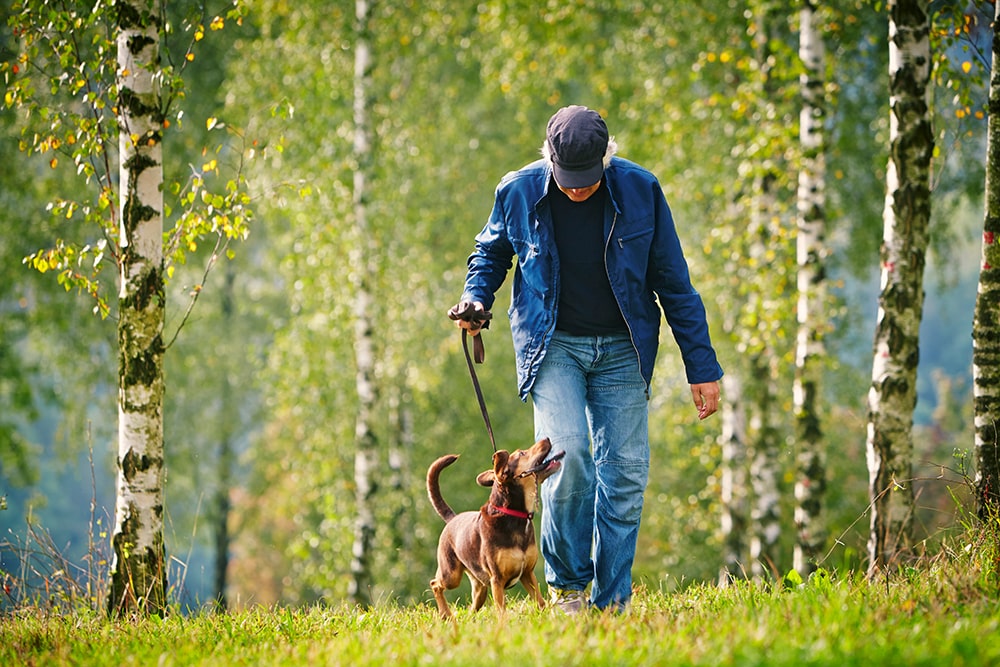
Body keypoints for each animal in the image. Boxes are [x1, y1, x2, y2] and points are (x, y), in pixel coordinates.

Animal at [424, 438, 564, 620]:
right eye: (522, 453)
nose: (546, 439)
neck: (513, 515)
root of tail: (452, 519)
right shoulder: (497, 580)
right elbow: (501, 611)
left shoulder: (527, 573)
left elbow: (540, 602)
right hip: (451, 574)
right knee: (435, 584)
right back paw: (445, 614)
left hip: (480, 587)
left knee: (473, 606)